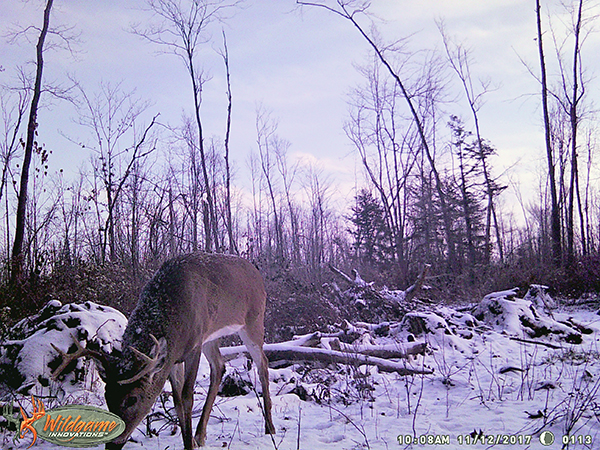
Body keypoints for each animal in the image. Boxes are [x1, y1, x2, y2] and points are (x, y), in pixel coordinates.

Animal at [51, 253, 276, 450]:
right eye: (108, 398)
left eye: (133, 399)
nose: (112, 444)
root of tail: (257, 272)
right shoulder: (172, 357)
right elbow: (177, 402)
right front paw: (189, 441)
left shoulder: (193, 345)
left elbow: (187, 397)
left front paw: (189, 445)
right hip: (211, 335)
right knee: (219, 366)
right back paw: (200, 435)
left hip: (253, 320)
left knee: (262, 364)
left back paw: (270, 427)